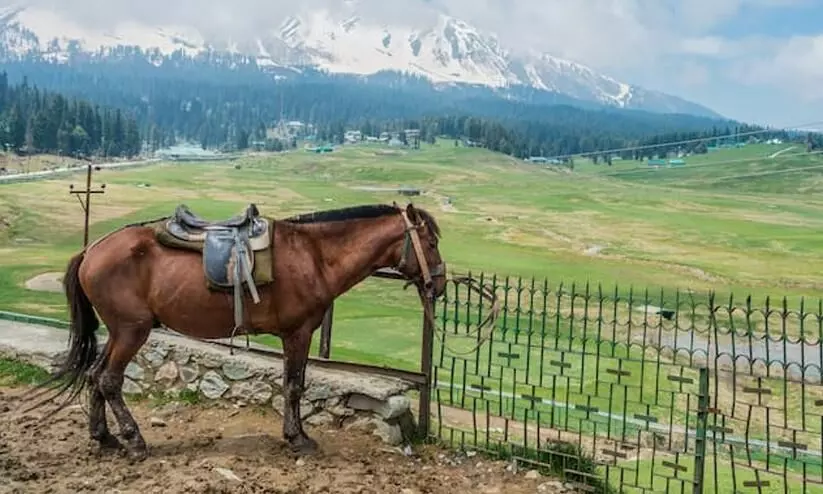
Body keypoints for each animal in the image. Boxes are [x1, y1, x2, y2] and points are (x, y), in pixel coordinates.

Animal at [26, 202, 446, 461]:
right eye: (430, 242)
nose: (439, 285)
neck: (314, 255)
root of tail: (91, 251)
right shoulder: (297, 333)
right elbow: (294, 386)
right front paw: (298, 438)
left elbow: (293, 385)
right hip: (132, 331)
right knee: (110, 380)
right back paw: (134, 440)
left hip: (117, 331)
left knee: (95, 376)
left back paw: (105, 438)